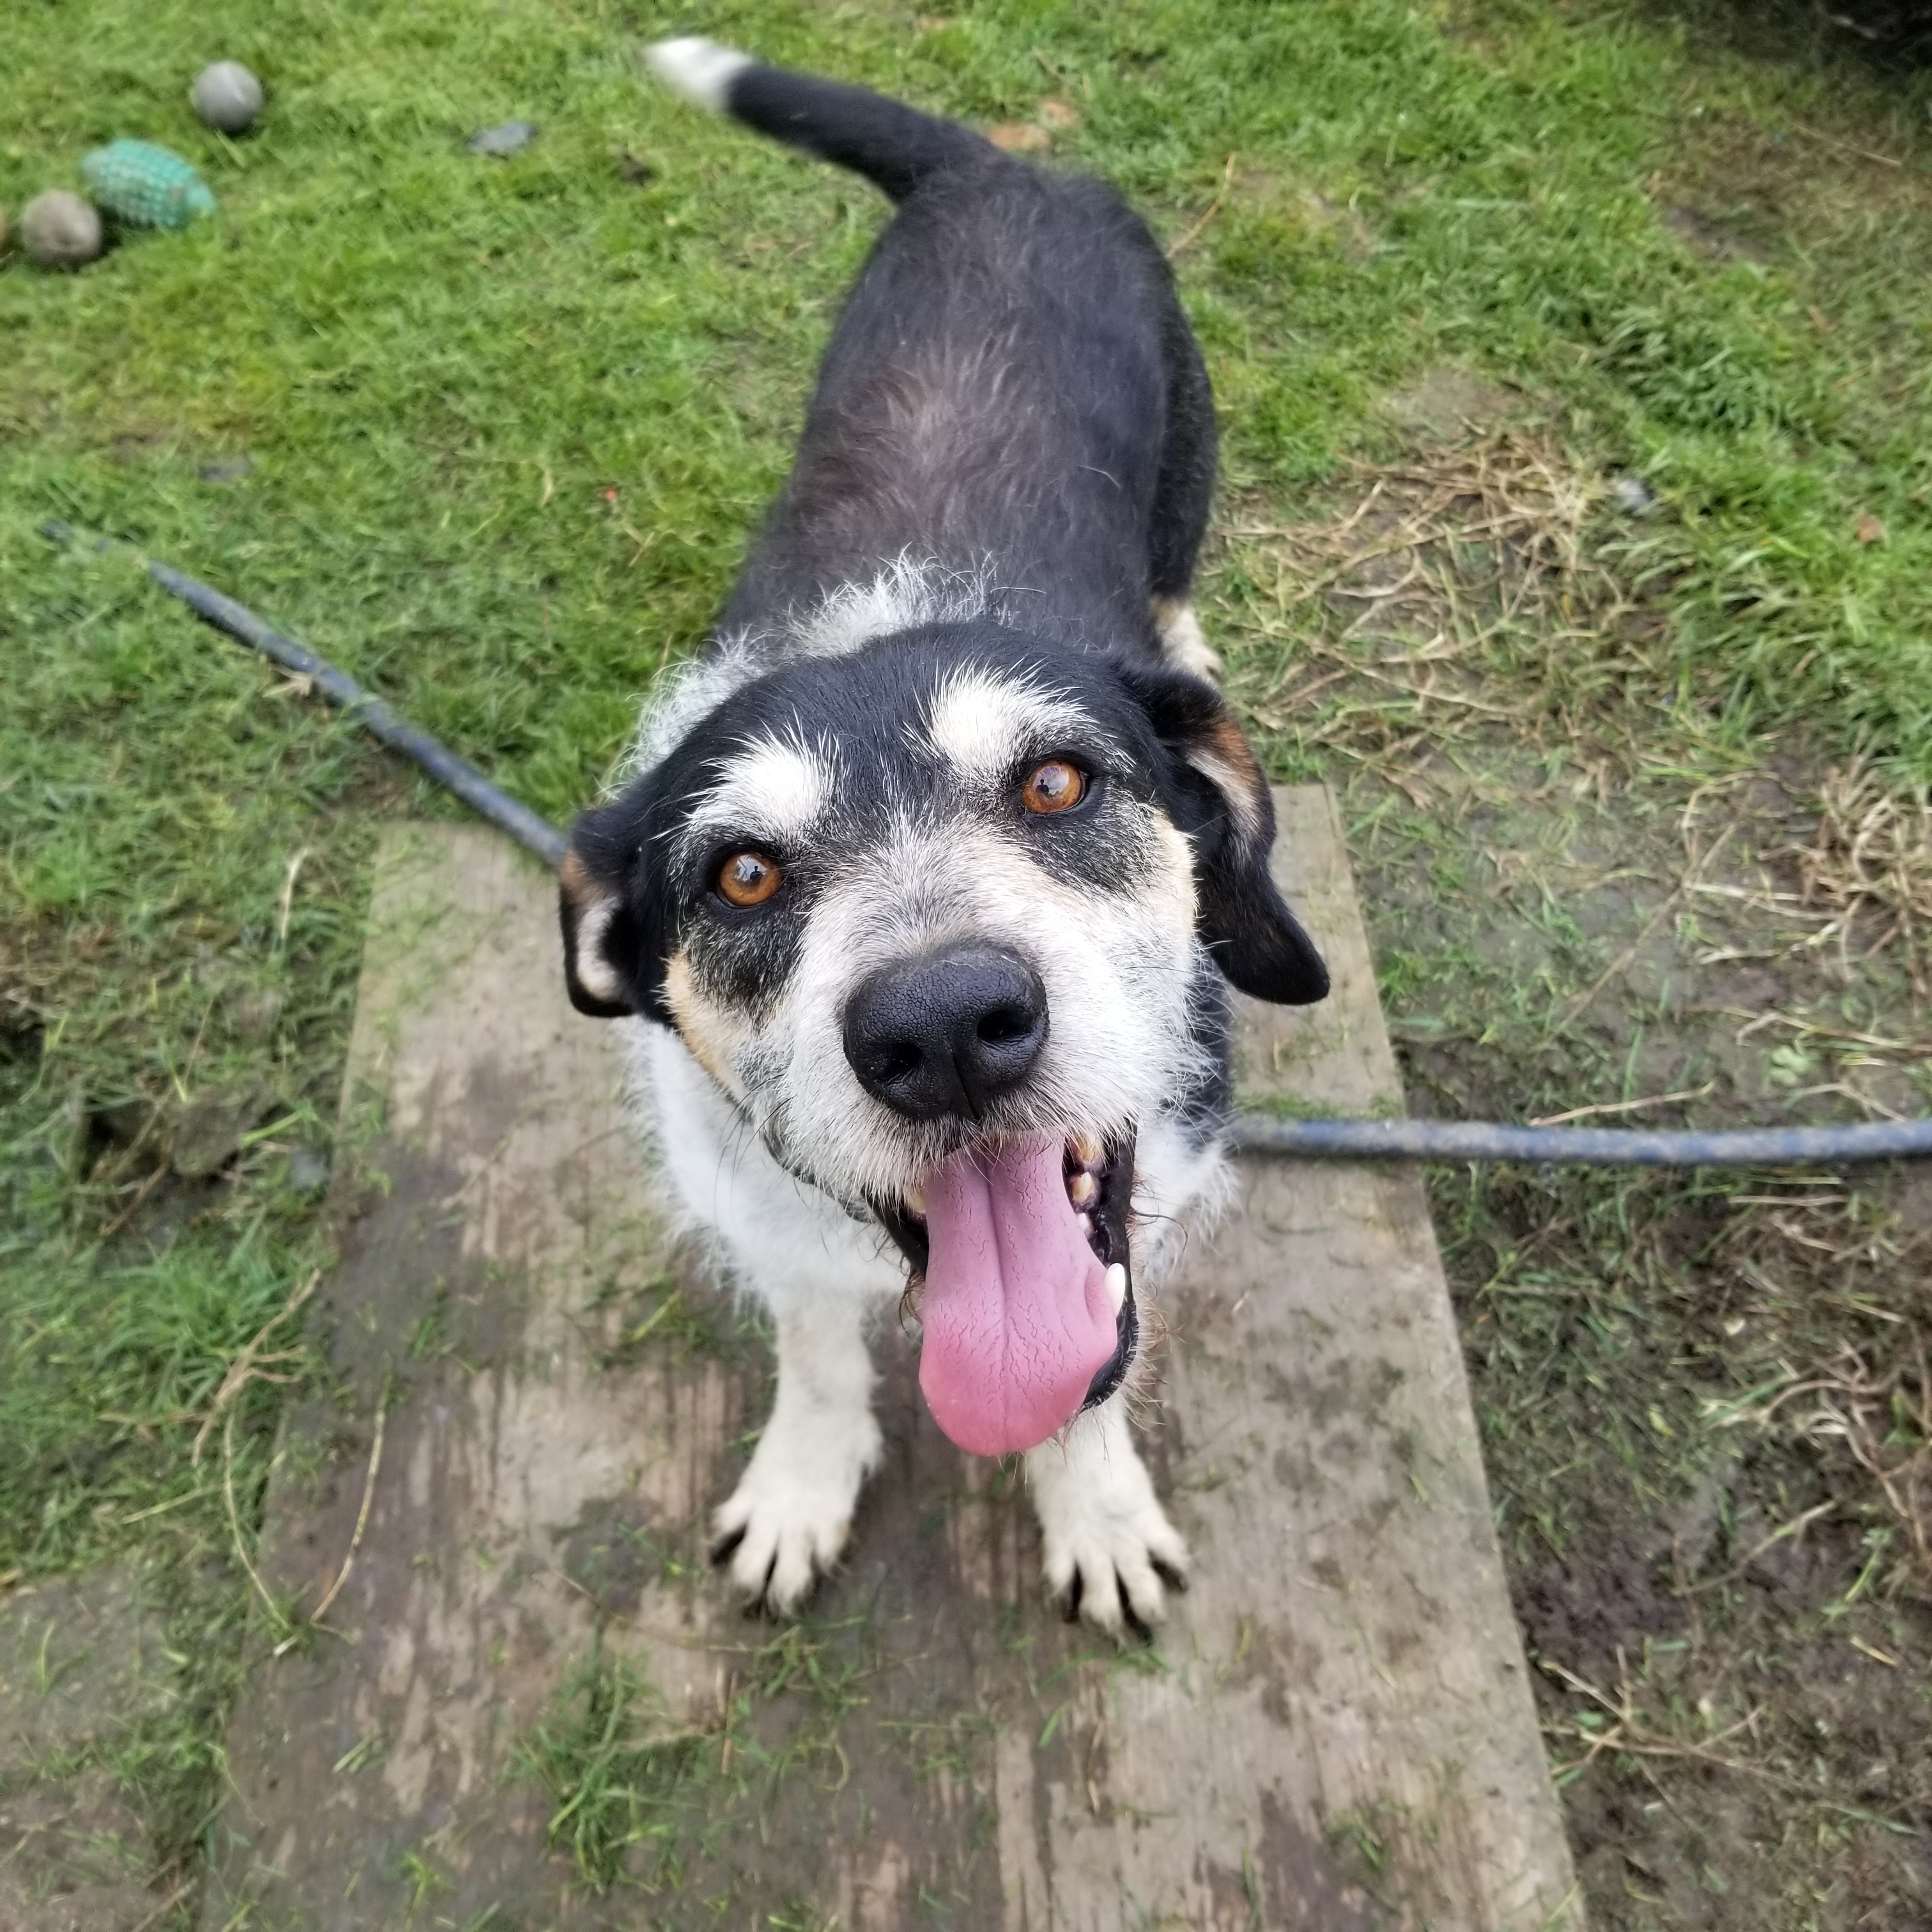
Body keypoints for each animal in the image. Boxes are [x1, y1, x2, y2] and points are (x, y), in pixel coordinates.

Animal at [552, 37, 1321, 1638]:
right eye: (742, 874)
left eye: (1059, 785)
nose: (948, 1026)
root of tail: (1000, 164)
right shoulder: (763, 1209)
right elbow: (816, 1348)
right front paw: (801, 1482)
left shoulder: (1156, 1189)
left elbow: (1093, 1369)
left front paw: (1096, 1512)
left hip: (1188, 456)